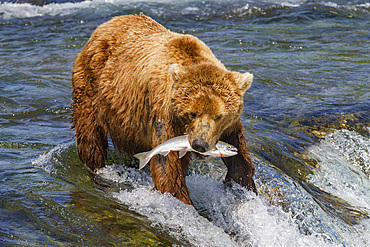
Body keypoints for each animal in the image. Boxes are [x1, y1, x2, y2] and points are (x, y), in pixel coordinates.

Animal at [72, 14, 258, 206]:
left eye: (219, 116)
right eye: (192, 113)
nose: (200, 144)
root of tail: (105, 25)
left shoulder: (228, 127)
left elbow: (240, 156)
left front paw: (243, 186)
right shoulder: (164, 114)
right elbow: (167, 168)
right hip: (92, 88)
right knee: (91, 138)